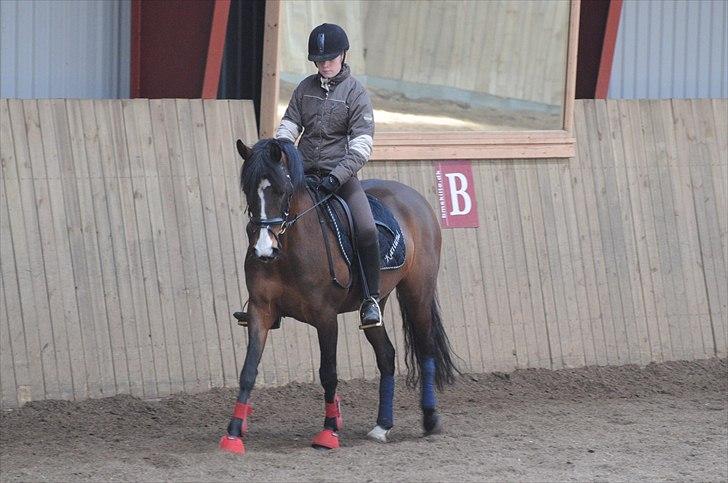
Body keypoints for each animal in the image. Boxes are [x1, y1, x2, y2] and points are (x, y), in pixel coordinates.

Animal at [219, 138, 457, 455]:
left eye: (282, 190)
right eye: (248, 190)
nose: (264, 250)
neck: (290, 248)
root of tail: (414, 198)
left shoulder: (325, 317)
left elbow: (328, 372)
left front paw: (329, 431)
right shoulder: (261, 310)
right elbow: (248, 370)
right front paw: (233, 433)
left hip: (417, 292)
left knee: (426, 348)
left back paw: (430, 420)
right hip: (376, 303)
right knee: (386, 355)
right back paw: (382, 426)